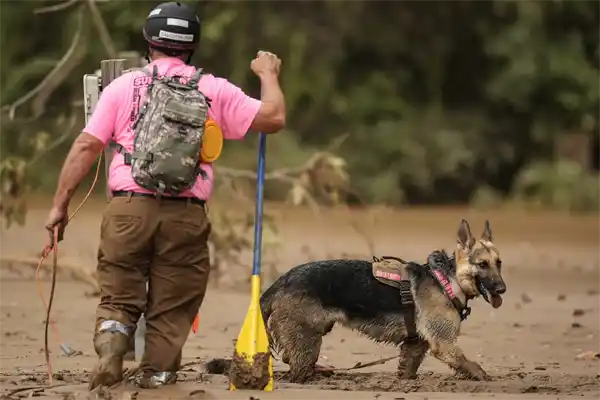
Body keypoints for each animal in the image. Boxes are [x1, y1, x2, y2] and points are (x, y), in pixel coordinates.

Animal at [260, 220, 504, 382]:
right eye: (482, 264)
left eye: (499, 263)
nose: (502, 288)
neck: (447, 279)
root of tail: (282, 280)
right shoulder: (444, 344)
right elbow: (471, 365)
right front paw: (485, 378)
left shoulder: (416, 345)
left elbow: (408, 369)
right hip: (308, 342)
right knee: (297, 371)